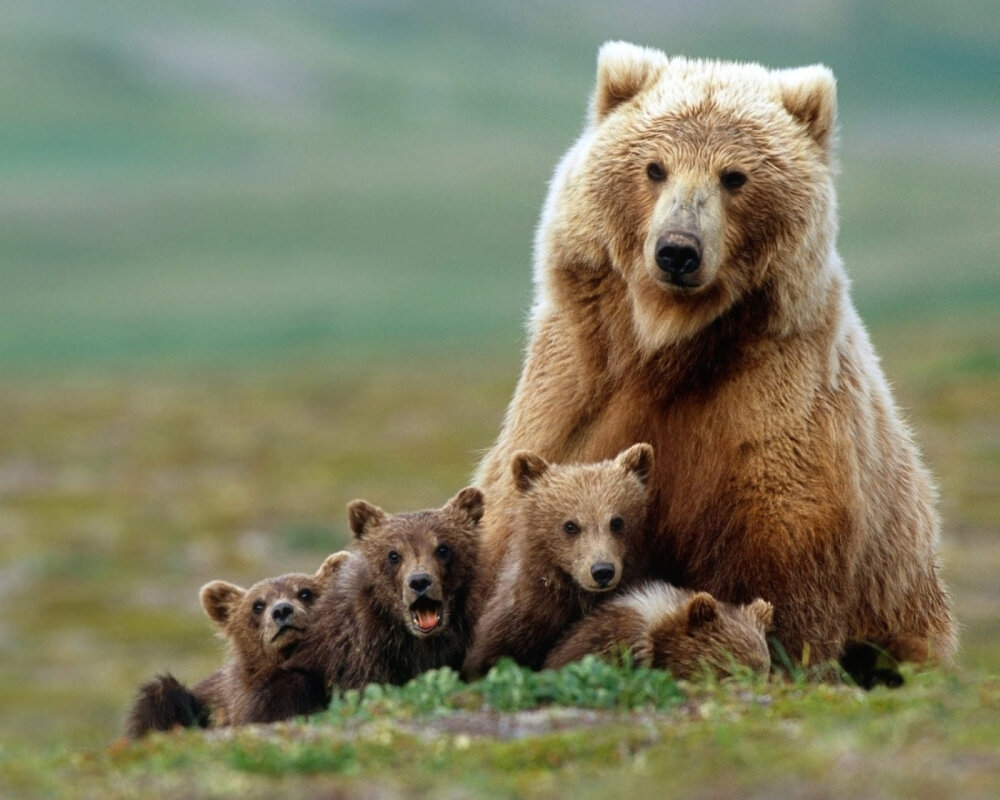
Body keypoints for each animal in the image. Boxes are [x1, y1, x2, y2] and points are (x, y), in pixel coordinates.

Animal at [472, 40, 956, 672]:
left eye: (735, 176)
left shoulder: (771, 409)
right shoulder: (575, 391)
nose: (678, 250)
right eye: (654, 167)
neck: (668, 345)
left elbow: (779, 567)